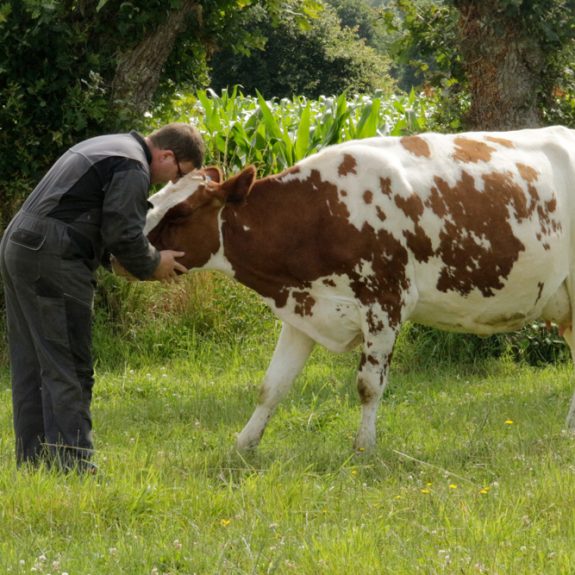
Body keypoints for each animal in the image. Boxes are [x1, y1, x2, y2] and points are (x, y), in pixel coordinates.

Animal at [145, 127, 575, 454]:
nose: (134, 251)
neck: (319, 213)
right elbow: (272, 386)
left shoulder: (384, 304)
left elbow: (368, 386)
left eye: (181, 212)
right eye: (151, 200)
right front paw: (243, 445)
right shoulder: (303, 309)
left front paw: (364, 449)